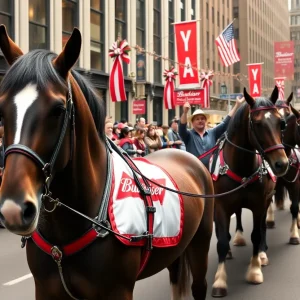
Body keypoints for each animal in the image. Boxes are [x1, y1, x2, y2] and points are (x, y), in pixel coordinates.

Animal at [0, 26, 214, 300]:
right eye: (1, 110)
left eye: (58, 109)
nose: (14, 209)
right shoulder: (46, 290)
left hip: (200, 245)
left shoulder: (117, 290)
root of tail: (187, 156)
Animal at [211, 87, 288, 298]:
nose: (282, 164)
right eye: (258, 123)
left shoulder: (259, 204)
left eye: (281, 123)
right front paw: (219, 280)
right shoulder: (221, 206)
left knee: (261, 228)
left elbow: (256, 235)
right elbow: (221, 241)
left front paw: (254, 271)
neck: (242, 167)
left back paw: (262, 253)